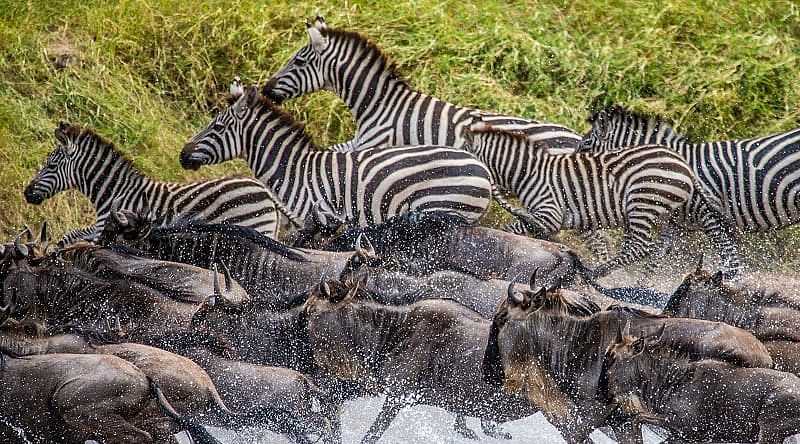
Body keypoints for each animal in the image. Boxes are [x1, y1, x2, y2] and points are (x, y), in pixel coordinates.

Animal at [24, 123, 288, 245]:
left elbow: (74, 236)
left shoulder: (108, 225)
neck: (113, 191)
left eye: (50, 166)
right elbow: (72, 235)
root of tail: (265, 192)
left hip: (254, 225)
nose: (27, 193)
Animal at [180, 85, 494, 227]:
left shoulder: (315, 218)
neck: (295, 170)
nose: (183, 155)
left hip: (443, 207)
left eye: (217, 127)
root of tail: (482, 169)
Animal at [466, 119, 740, 276]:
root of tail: (683, 163)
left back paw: (595, 274)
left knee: (640, 247)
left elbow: (513, 228)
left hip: (641, 203)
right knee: (655, 248)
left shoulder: (549, 213)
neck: (528, 172)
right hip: (666, 215)